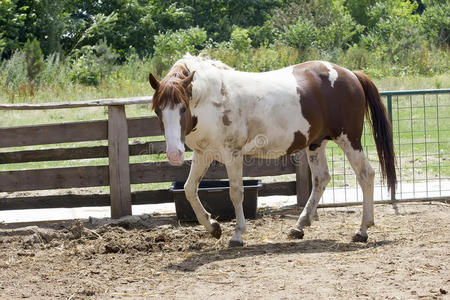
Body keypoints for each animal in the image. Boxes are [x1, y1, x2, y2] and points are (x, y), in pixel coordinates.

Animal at [148, 54, 394, 246]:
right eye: (158, 110)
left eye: (182, 108)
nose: (174, 154)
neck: (214, 97)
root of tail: (351, 75)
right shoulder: (203, 154)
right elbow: (190, 189)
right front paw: (213, 227)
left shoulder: (233, 155)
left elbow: (235, 193)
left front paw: (237, 235)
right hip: (316, 144)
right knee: (321, 179)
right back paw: (299, 226)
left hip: (348, 139)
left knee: (365, 174)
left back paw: (362, 230)